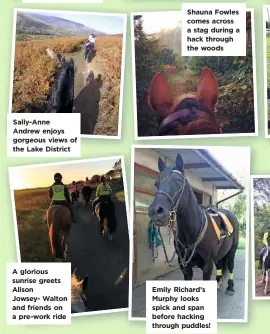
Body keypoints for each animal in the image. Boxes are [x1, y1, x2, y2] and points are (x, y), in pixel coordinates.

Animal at [149, 153, 239, 296]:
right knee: (220, 265)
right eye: (156, 183)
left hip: (232, 250)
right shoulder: (185, 266)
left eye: (178, 181)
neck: (193, 230)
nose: (155, 211)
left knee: (230, 266)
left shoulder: (207, 266)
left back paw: (230, 287)